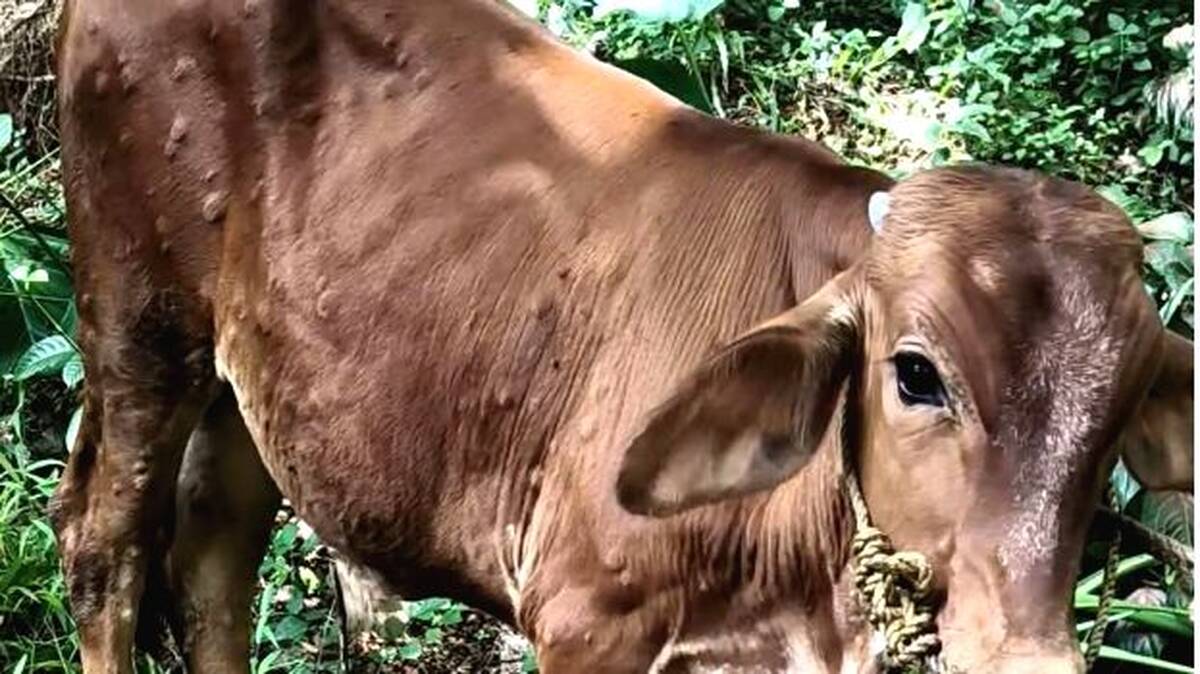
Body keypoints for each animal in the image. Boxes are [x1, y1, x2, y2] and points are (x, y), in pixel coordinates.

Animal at [50, 0, 1193, 672]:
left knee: (212, 552)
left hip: (255, 376)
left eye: (1124, 404)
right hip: (139, 310)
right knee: (105, 545)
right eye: (915, 374)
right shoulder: (584, 619)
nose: (1029, 659)